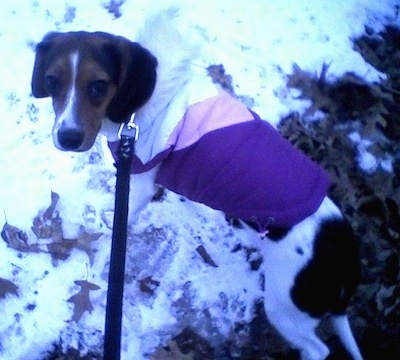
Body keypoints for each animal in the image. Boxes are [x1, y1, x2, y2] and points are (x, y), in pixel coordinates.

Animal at [31, 9, 362, 360]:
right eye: (52, 81)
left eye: (98, 85)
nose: (67, 137)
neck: (136, 109)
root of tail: (345, 256)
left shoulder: (140, 180)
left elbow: (121, 221)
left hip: (286, 308)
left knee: (318, 349)